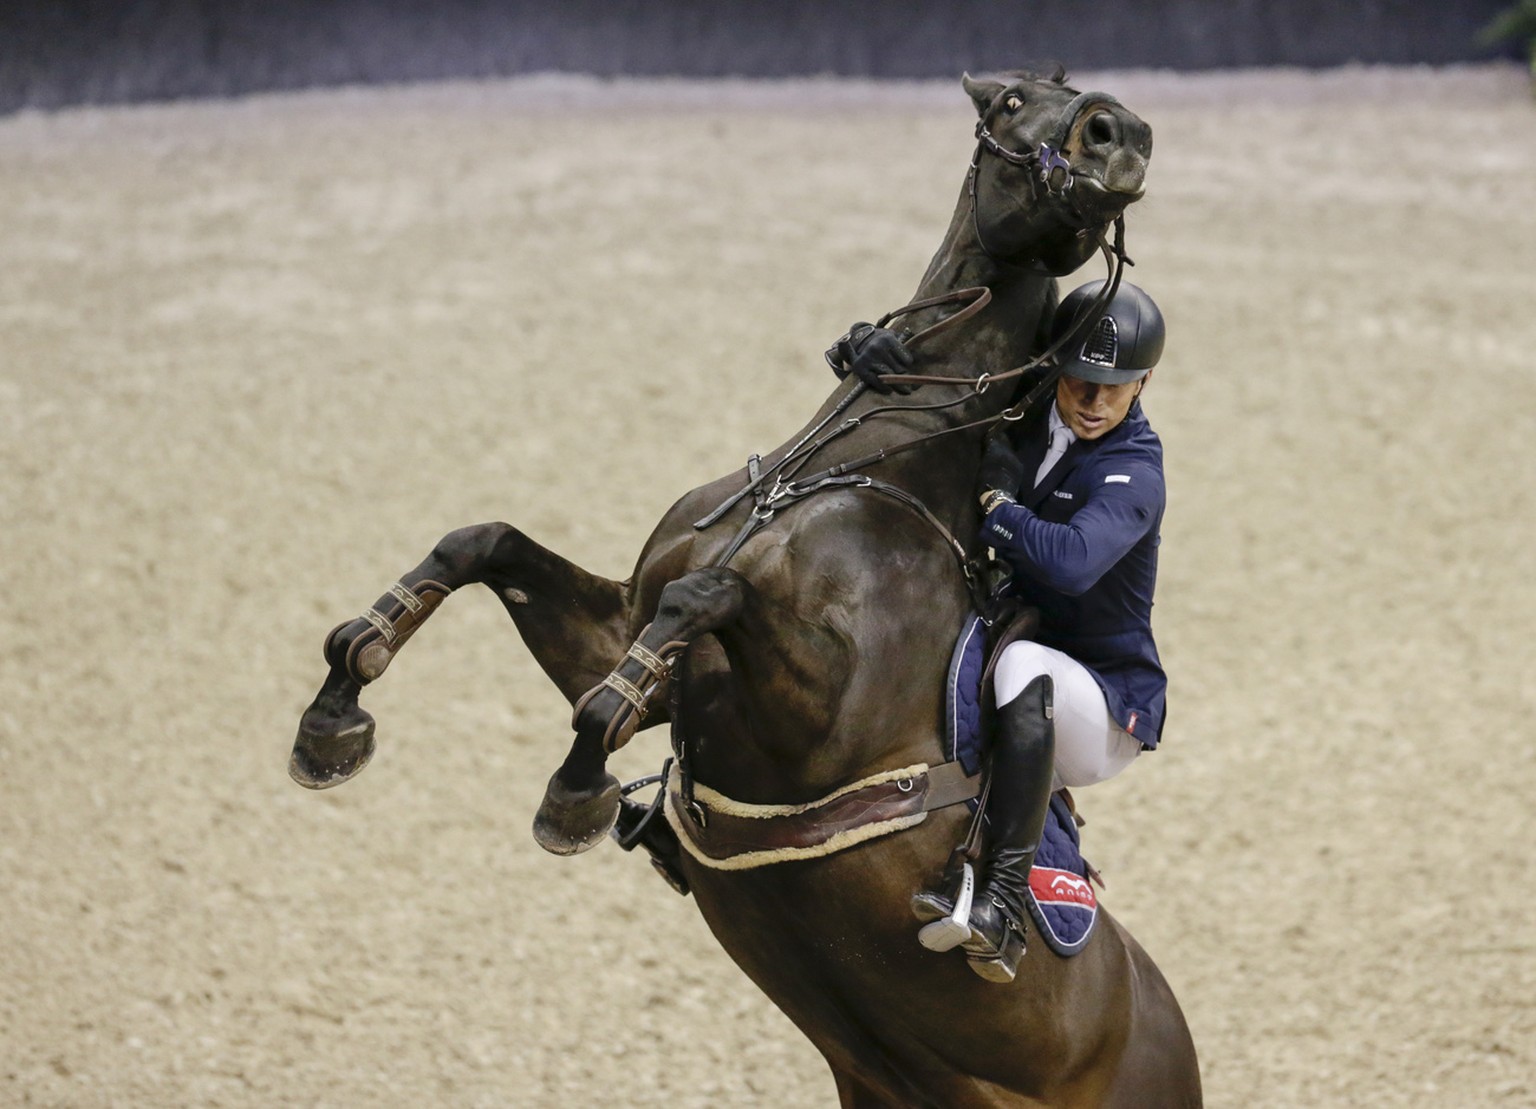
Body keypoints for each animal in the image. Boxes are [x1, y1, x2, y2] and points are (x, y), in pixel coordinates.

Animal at [288, 71, 1198, 1105]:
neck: (873, 454)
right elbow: (482, 547)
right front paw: (336, 705)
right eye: (1011, 100)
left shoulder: (816, 716)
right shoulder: (627, 636)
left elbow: (708, 599)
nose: (1118, 131)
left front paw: (574, 791)